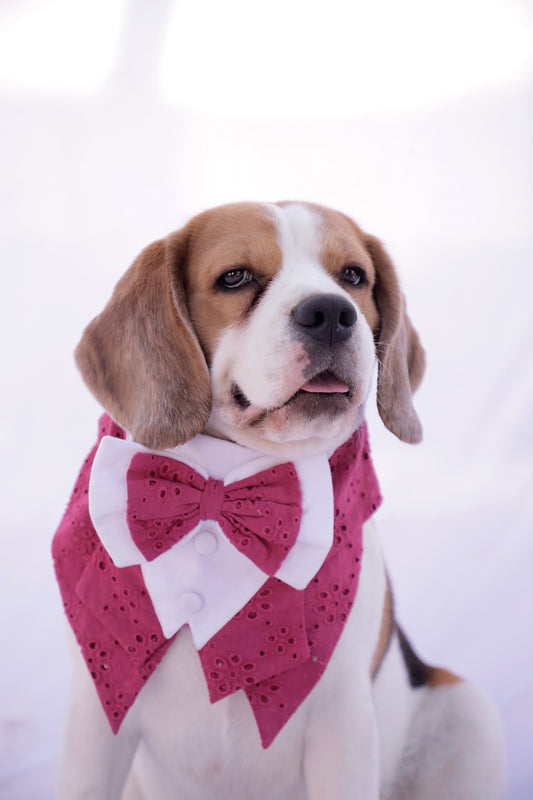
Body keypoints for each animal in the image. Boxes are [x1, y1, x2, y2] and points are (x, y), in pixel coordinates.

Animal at [52, 202, 504, 800]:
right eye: (235, 277)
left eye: (354, 276)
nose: (331, 313)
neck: (223, 491)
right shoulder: (95, 722)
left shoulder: (344, 730)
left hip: (468, 709)